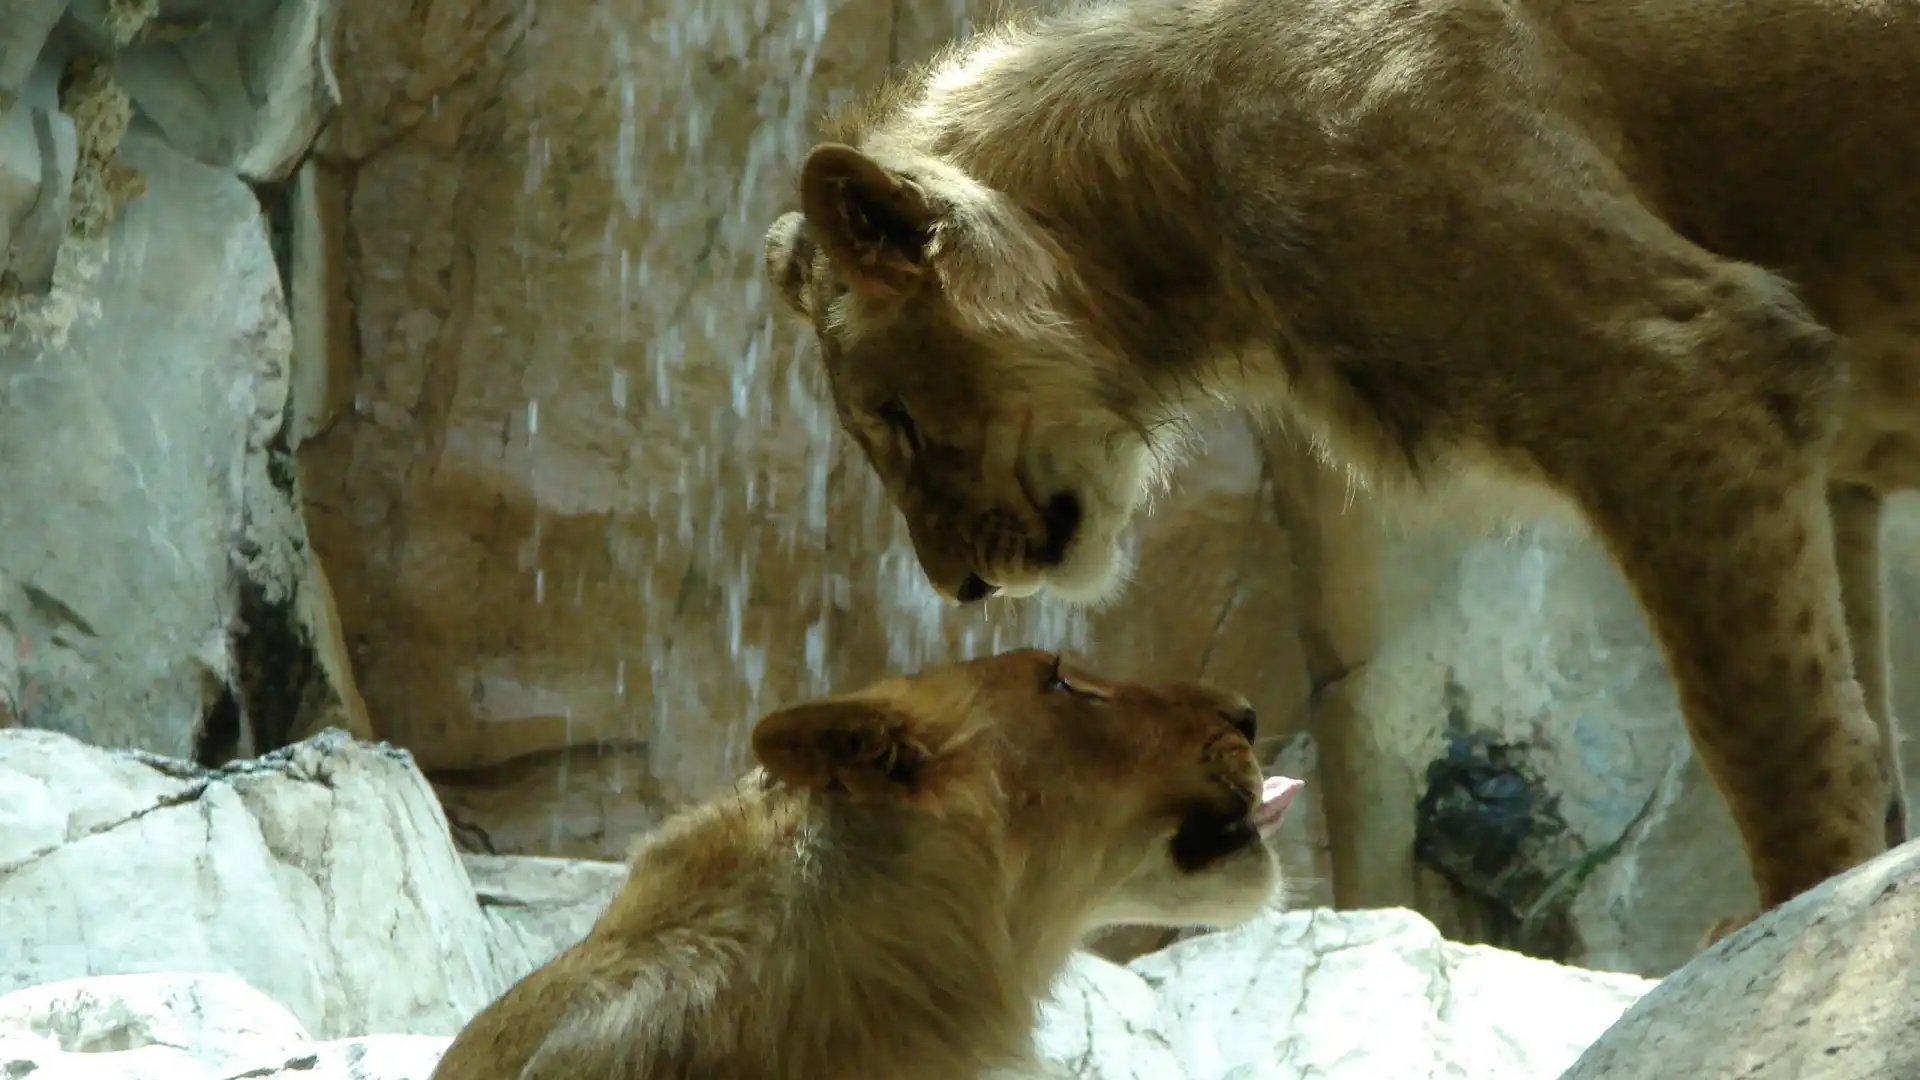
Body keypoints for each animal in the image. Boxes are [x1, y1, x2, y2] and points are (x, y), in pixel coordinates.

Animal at [760, 0, 1920, 942]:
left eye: (896, 421)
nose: (954, 585)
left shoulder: (1678, 365)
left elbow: (1766, 724)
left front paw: (1796, 915)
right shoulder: (1821, 452)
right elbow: (1851, 708)